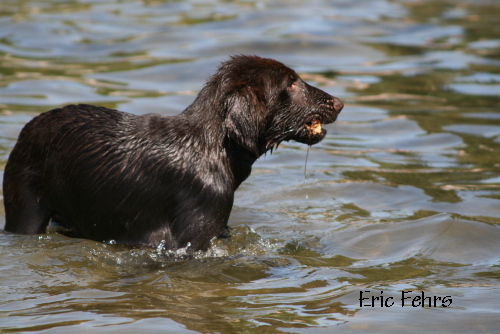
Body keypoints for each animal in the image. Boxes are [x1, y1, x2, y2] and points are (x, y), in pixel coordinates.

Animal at [1, 55, 344, 250]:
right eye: (292, 83)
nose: (340, 102)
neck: (213, 149)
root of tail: (27, 129)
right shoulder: (194, 235)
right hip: (26, 210)